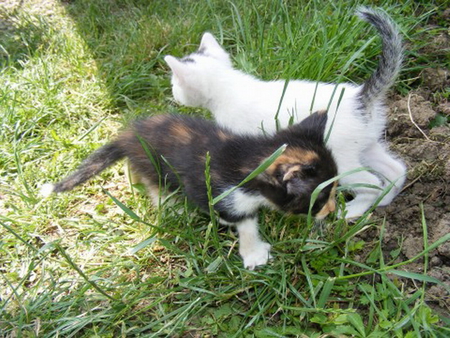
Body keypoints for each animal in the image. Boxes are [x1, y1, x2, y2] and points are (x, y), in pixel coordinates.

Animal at [41, 112, 338, 270]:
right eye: (321, 199)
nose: (333, 212)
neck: (250, 159)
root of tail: (129, 135)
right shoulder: (209, 189)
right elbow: (241, 218)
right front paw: (254, 252)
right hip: (153, 164)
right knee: (154, 183)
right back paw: (170, 207)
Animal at [165, 7, 408, 220]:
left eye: (175, 84)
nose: (173, 93)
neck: (229, 85)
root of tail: (359, 97)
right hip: (365, 144)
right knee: (396, 169)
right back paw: (384, 200)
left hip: (342, 157)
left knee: (372, 182)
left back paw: (354, 210)